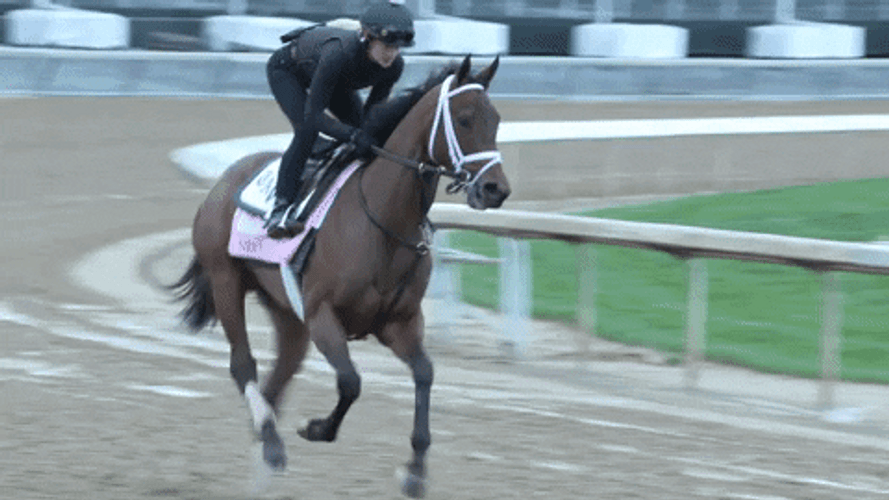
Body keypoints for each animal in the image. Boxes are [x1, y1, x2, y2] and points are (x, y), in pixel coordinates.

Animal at [168, 55, 510, 498]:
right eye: (465, 119)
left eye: (496, 120)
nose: (495, 190)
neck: (382, 219)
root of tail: (226, 180)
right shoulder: (322, 315)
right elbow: (351, 382)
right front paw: (317, 428)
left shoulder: (399, 323)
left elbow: (424, 374)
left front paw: (415, 472)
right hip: (226, 280)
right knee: (244, 366)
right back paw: (272, 442)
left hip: (286, 314)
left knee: (276, 382)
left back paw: (264, 460)